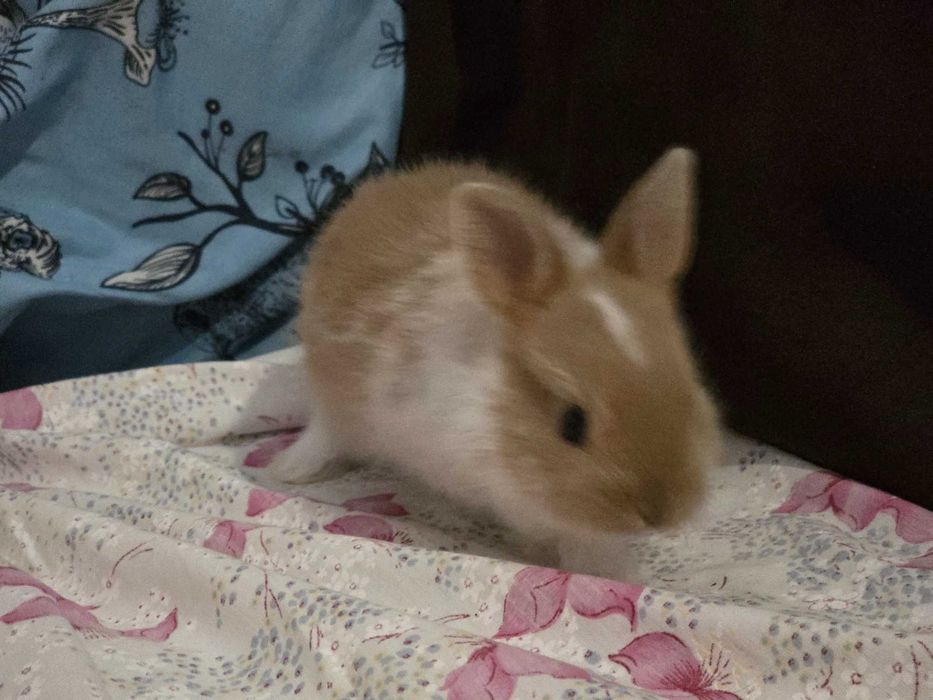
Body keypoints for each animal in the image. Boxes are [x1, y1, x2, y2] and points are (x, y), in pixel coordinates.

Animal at [267, 147, 722, 580]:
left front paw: (618, 567)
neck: (497, 403)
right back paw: (291, 469)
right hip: (335, 394)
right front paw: (604, 566)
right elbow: (572, 529)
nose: (658, 513)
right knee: (327, 429)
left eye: (691, 392)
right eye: (572, 424)